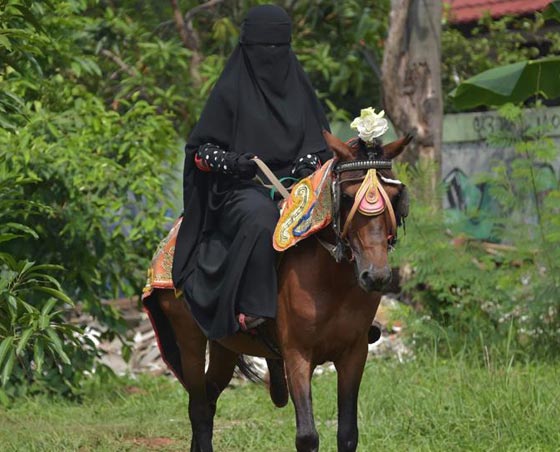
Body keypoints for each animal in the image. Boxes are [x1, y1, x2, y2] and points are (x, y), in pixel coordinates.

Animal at [142, 129, 410, 450]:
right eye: (346, 196)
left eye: (395, 197)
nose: (376, 276)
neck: (332, 282)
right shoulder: (297, 354)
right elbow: (307, 436)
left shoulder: (354, 353)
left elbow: (347, 434)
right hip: (188, 338)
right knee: (198, 408)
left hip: (223, 345)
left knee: (208, 397)